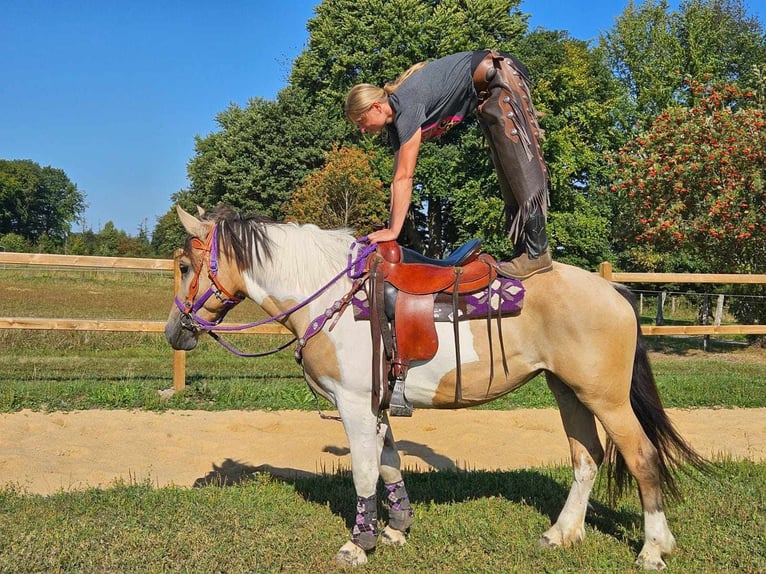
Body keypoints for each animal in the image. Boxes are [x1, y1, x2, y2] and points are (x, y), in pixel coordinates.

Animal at [164, 206, 708, 572]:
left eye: (186, 267)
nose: (175, 331)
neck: (332, 293)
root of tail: (612, 290)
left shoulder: (354, 404)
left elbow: (364, 472)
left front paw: (358, 544)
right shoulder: (377, 405)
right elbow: (389, 463)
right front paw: (396, 528)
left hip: (607, 400)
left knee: (641, 457)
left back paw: (653, 549)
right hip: (568, 392)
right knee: (587, 458)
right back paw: (560, 534)